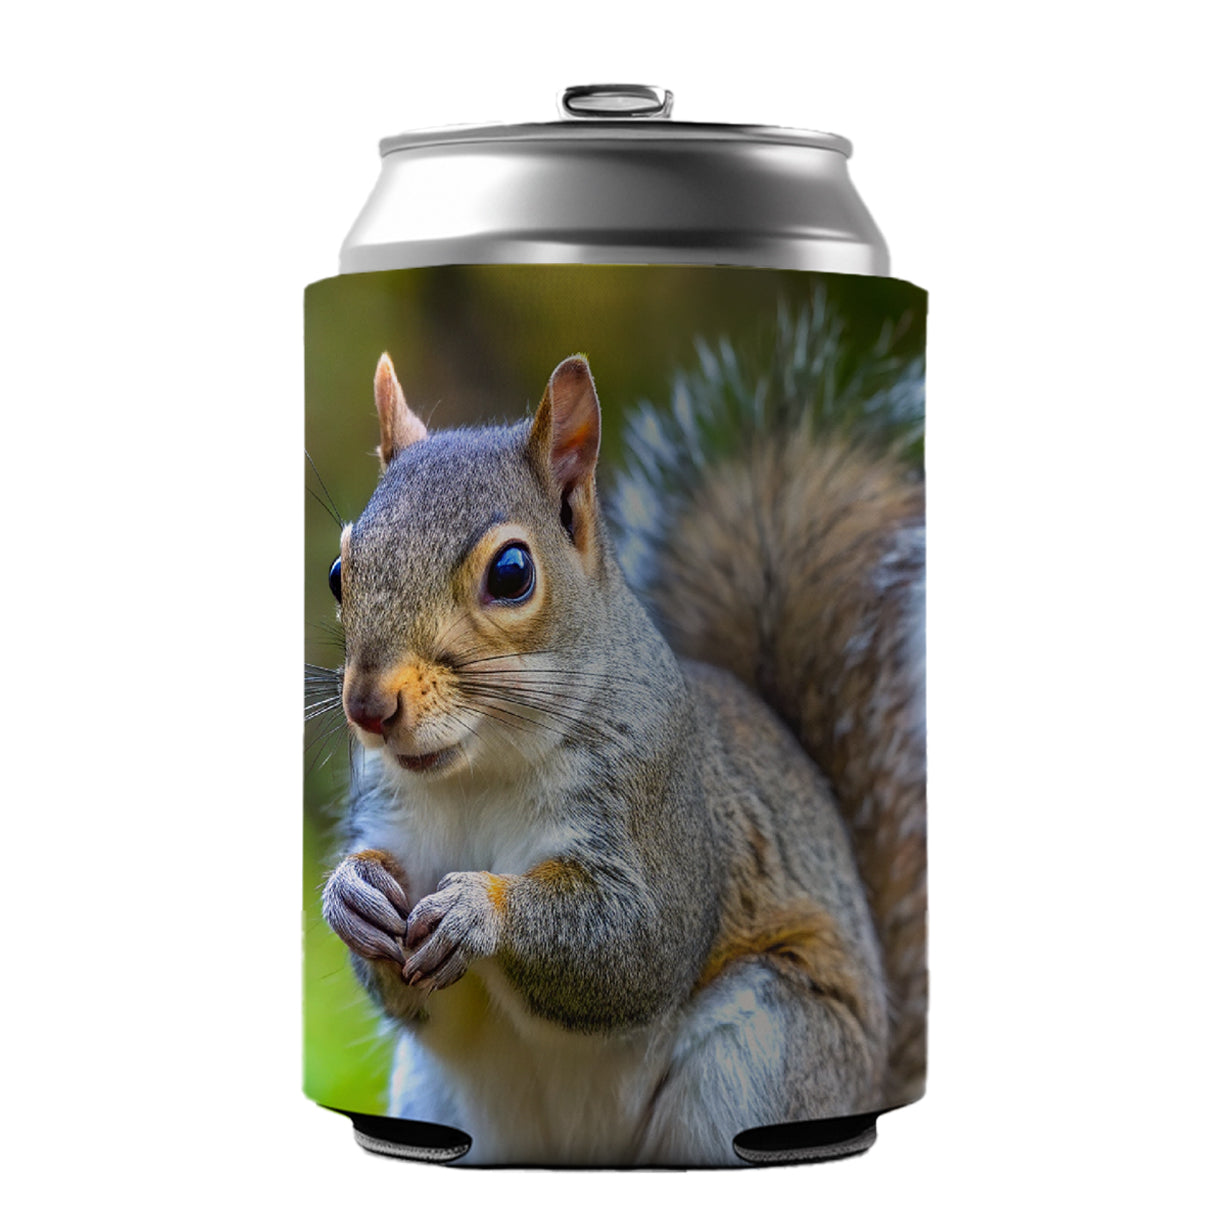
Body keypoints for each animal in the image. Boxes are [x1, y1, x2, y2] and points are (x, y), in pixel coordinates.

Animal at [318, 300, 926, 1166]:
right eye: (341, 573)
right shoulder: (391, 817)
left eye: (511, 573)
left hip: (762, 1051)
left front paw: (480, 908)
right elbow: (408, 990)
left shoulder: (662, 813)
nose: (368, 707)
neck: (479, 770)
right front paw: (351, 891)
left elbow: (635, 946)